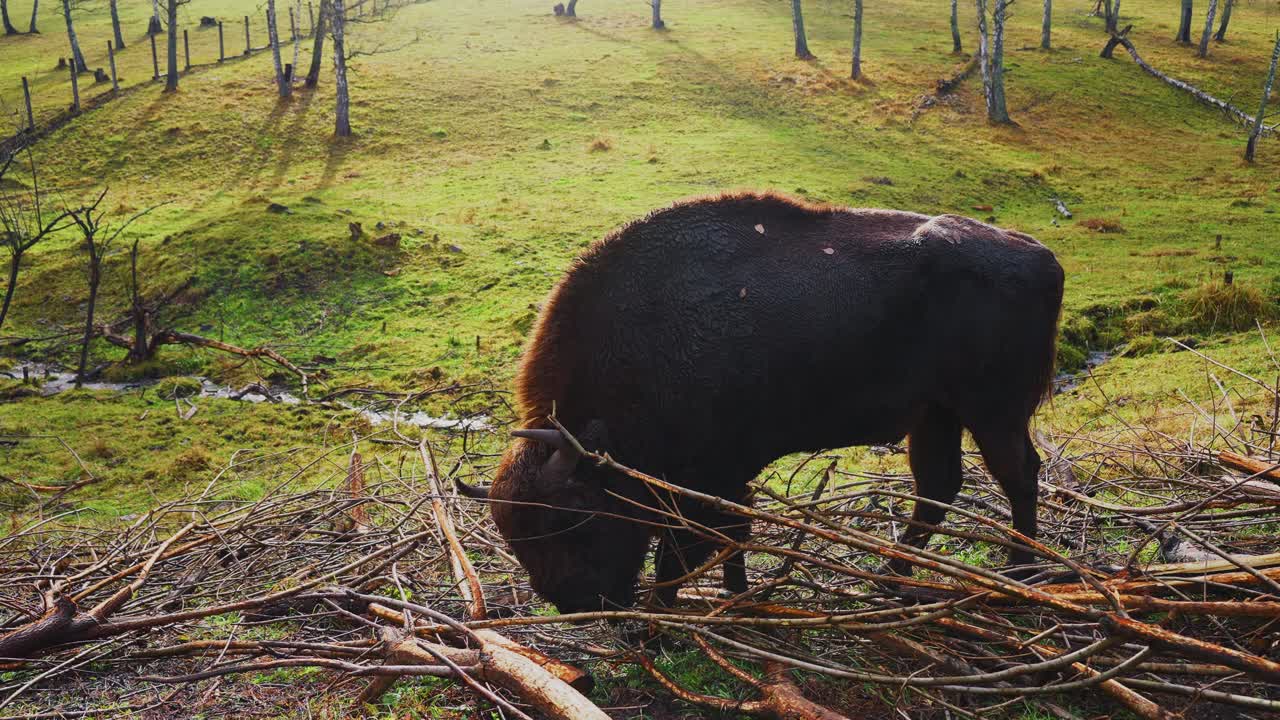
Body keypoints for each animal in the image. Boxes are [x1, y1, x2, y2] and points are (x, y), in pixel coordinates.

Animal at [460, 192, 1064, 614]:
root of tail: (1042, 256)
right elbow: (733, 533)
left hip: (993, 411)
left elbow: (684, 547)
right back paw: (895, 580)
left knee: (1018, 475)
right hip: (935, 413)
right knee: (938, 487)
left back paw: (1020, 574)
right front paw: (736, 597)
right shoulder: (728, 479)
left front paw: (661, 617)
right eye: (519, 538)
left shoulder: (709, 479)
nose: (579, 604)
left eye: (573, 519)